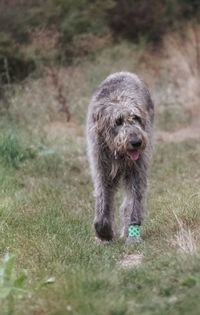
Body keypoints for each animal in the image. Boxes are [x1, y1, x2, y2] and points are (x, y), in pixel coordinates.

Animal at [86, 71, 155, 243]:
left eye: (136, 118)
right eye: (118, 121)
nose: (136, 142)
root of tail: (124, 72)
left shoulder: (137, 170)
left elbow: (134, 202)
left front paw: (133, 235)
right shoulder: (101, 169)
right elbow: (103, 198)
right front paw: (103, 232)